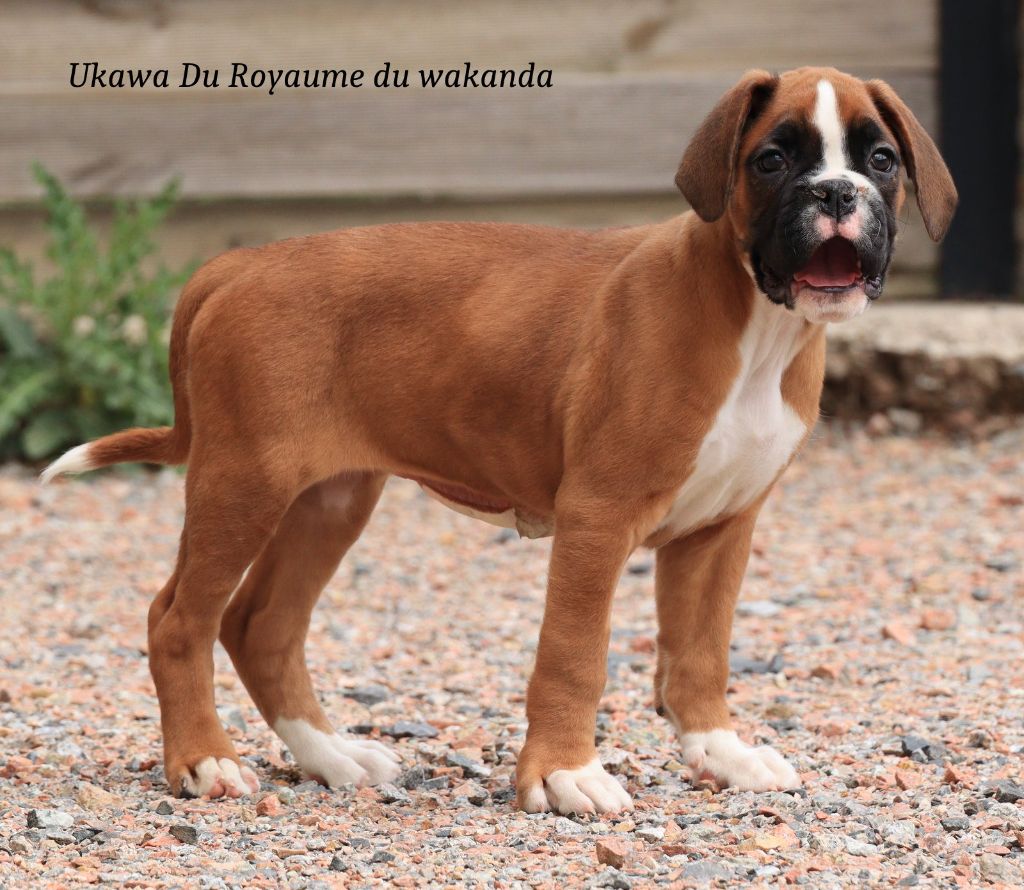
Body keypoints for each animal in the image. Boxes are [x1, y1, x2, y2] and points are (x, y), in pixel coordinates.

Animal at [43, 67, 956, 815]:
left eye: (880, 160)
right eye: (771, 161)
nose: (836, 194)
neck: (755, 325)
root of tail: (237, 265)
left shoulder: (720, 529)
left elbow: (700, 655)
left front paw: (720, 754)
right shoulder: (598, 518)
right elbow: (574, 655)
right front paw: (564, 774)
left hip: (327, 499)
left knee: (259, 626)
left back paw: (333, 759)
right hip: (243, 484)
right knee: (178, 620)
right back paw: (203, 762)